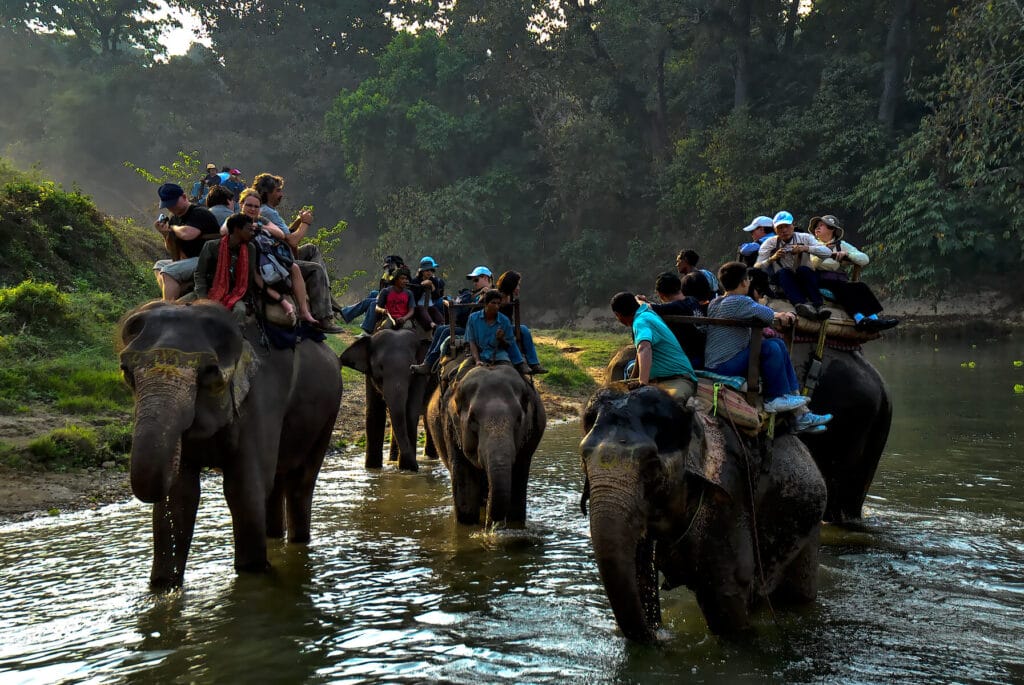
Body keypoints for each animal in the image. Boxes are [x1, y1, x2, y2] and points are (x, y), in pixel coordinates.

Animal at [118, 298, 344, 589]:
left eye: (210, 371)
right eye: (126, 371)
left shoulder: (263, 396)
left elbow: (244, 488)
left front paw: (252, 572)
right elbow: (181, 495)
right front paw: (163, 586)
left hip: (328, 412)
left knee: (300, 482)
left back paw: (298, 541)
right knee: (276, 481)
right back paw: (275, 536)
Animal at [339, 327, 428, 471]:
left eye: (412, 368)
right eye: (380, 367)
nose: (416, 467)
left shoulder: (420, 374)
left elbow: (410, 413)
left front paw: (406, 469)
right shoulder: (369, 376)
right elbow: (375, 414)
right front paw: (372, 469)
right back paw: (393, 460)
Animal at [425, 362, 548, 524]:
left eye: (518, 419)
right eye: (472, 420)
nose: (491, 524)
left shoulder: (530, 438)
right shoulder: (450, 427)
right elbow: (466, 492)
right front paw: (468, 523)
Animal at [581, 384, 827, 643]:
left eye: (652, 465)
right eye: (583, 459)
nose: (660, 635)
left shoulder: (728, 499)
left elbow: (726, 601)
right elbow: (638, 574)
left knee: (798, 594)